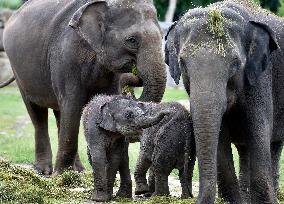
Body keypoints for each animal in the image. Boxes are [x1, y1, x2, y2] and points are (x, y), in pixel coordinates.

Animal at [1, 0, 166, 175]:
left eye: (163, 36)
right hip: (19, 72)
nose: (135, 75)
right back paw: (44, 171)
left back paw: (79, 170)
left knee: (60, 113)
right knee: (38, 113)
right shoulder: (66, 57)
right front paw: (61, 176)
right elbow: (72, 105)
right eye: (132, 40)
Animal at [166, 0, 284, 203]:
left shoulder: (260, 78)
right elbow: (221, 137)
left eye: (236, 64)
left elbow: (258, 130)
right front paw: (235, 200)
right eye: (182, 63)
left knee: (273, 143)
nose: (192, 197)